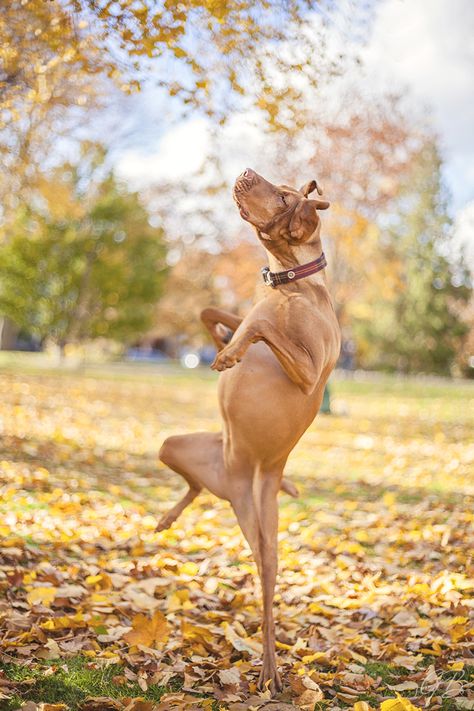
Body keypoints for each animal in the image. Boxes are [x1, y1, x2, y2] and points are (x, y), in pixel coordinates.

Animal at [158, 168, 340, 696]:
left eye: (281, 195)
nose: (245, 173)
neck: (292, 285)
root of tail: (236, 481)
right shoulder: (245, 312)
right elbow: (215, 313)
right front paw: (222, 341)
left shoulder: (311, 373)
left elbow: (260, 325)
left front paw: (230, 352)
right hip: (174, 448)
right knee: (194, 486)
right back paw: (170, 516)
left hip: (261, 525)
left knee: (266, 591)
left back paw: (270, 670)